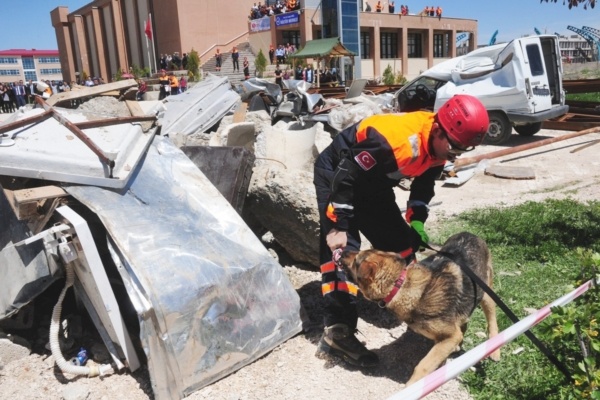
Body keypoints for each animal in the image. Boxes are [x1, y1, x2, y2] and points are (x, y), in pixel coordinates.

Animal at [338, 233, 502, 386]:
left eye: (356, 260)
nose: (342, 251)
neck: (401, 285)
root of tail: (469, 234)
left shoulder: (450, 336)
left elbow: (423, 365)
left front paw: (410, 387)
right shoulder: (445, 337)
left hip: (486, 294)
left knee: (492, 320)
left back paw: (495, 349)